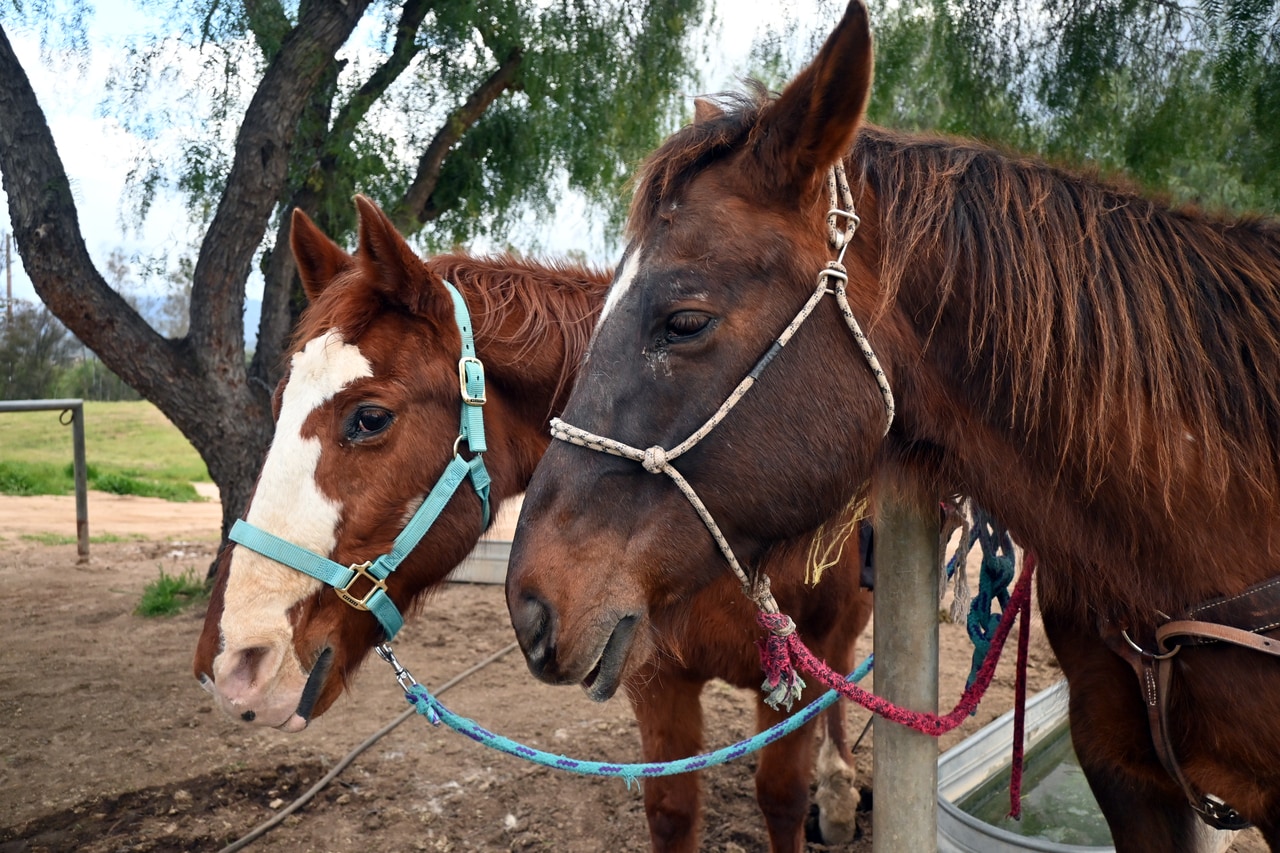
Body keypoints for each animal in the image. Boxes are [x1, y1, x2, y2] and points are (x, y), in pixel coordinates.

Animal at [189, 197, 870, 850]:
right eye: (276, 403)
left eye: (370, 418)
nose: (233, 668)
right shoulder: (654, 680)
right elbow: (671, 810)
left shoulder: (796, 679)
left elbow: (783, 797)